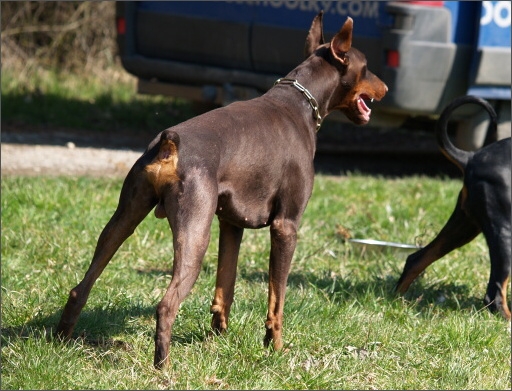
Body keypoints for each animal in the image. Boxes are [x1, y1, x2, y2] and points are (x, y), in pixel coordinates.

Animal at [54, 11, 386, 368]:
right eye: (367, 67)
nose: (385, 87)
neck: (300, 102)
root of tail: (169, 145)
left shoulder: (230, 223)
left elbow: (225, 285)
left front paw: (218, 336)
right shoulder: (286, 226)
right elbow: (277, 299)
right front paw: (276, 347)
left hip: (124, 218)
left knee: (82, 286)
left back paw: (62, 339)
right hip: (195, 234)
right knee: (166, 305)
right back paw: (163, 367)